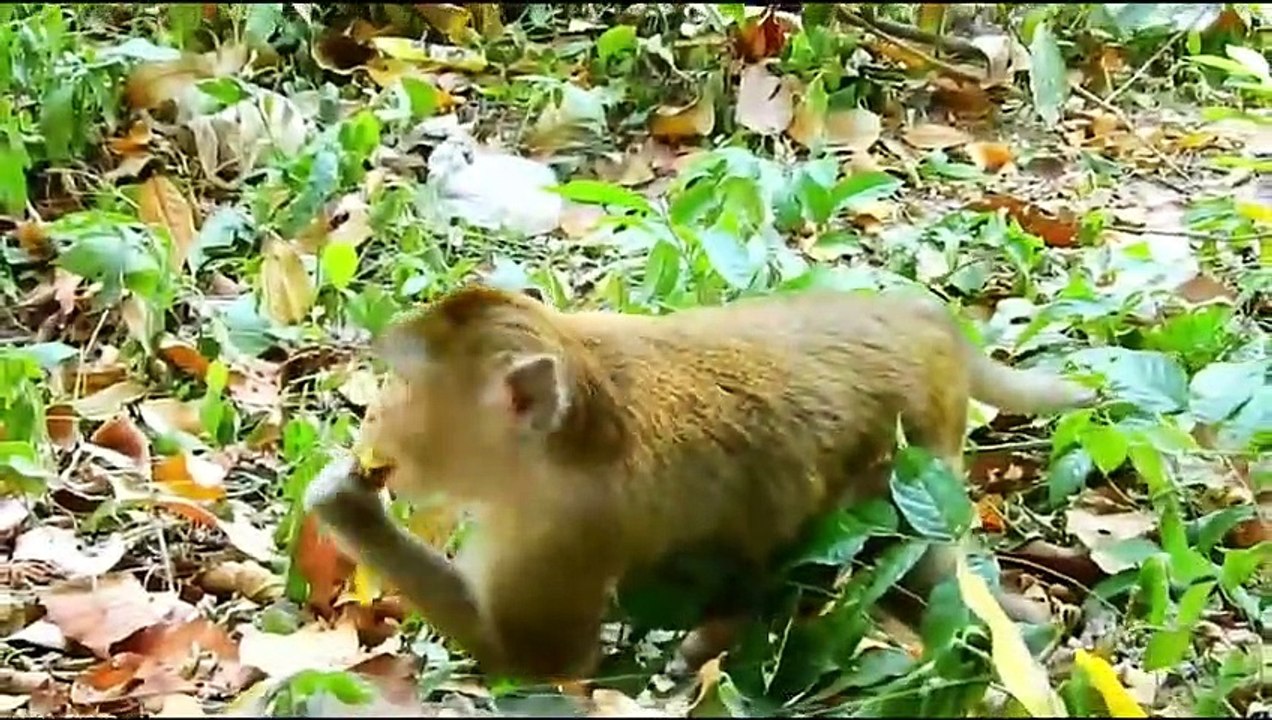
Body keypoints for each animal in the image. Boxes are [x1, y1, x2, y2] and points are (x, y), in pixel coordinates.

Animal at [303, 284, 1097, 683]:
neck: (572, 431)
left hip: (914, 456)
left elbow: (539, 660)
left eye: (407, 386)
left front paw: (344, 505)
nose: (373, 413)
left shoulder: (561, 531)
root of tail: (932, 322)